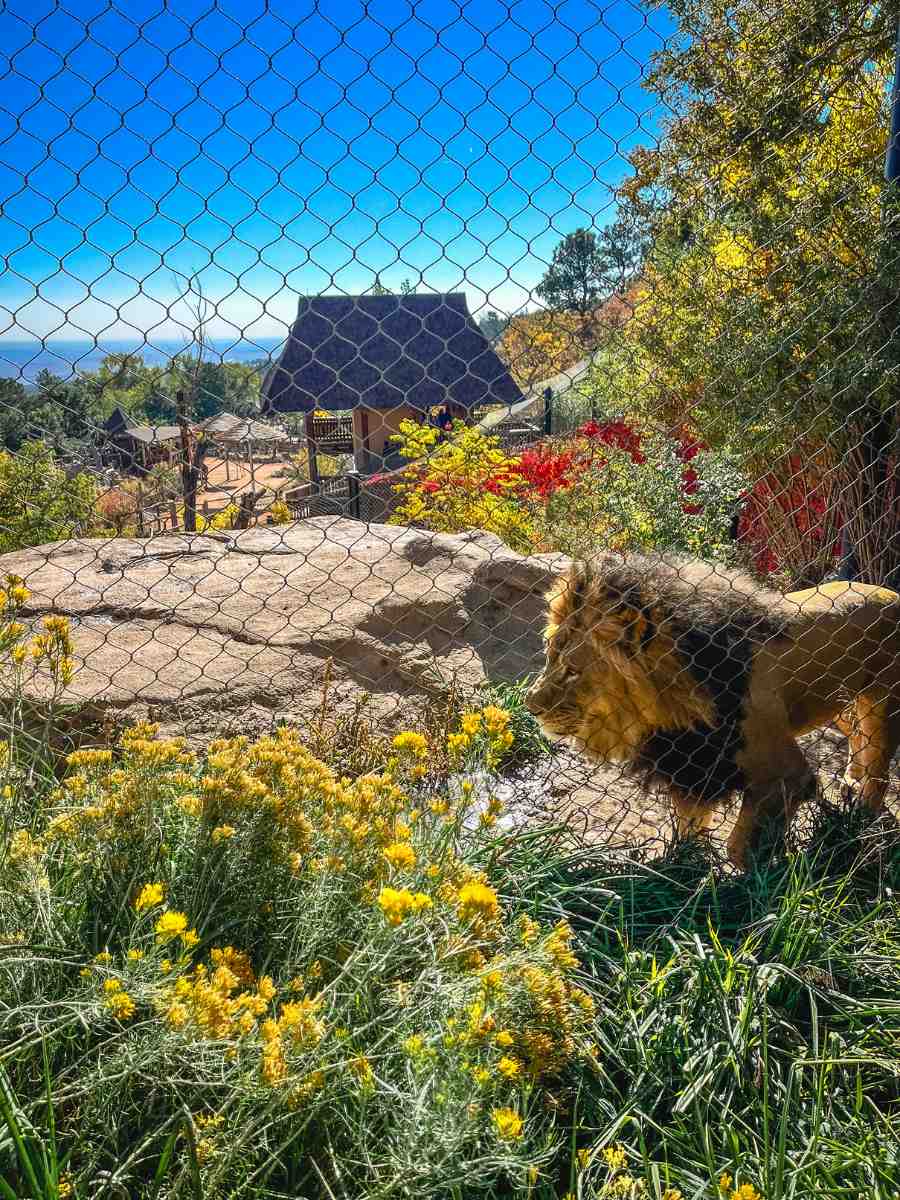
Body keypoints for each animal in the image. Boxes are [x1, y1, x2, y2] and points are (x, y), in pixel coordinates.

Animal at [525, 552, 900, 864]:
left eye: (572, 670)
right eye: (549, 656)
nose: (529, 706)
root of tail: (889, 592)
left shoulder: (784, 772)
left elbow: (739, 848)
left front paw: (760, 880)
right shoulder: (693, 763)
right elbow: (688, 827)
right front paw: (682, 865)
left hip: (882, 700)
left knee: (880, 768)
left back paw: (862, 817)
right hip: (841, 701)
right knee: (858, 737)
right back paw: (852, 779)